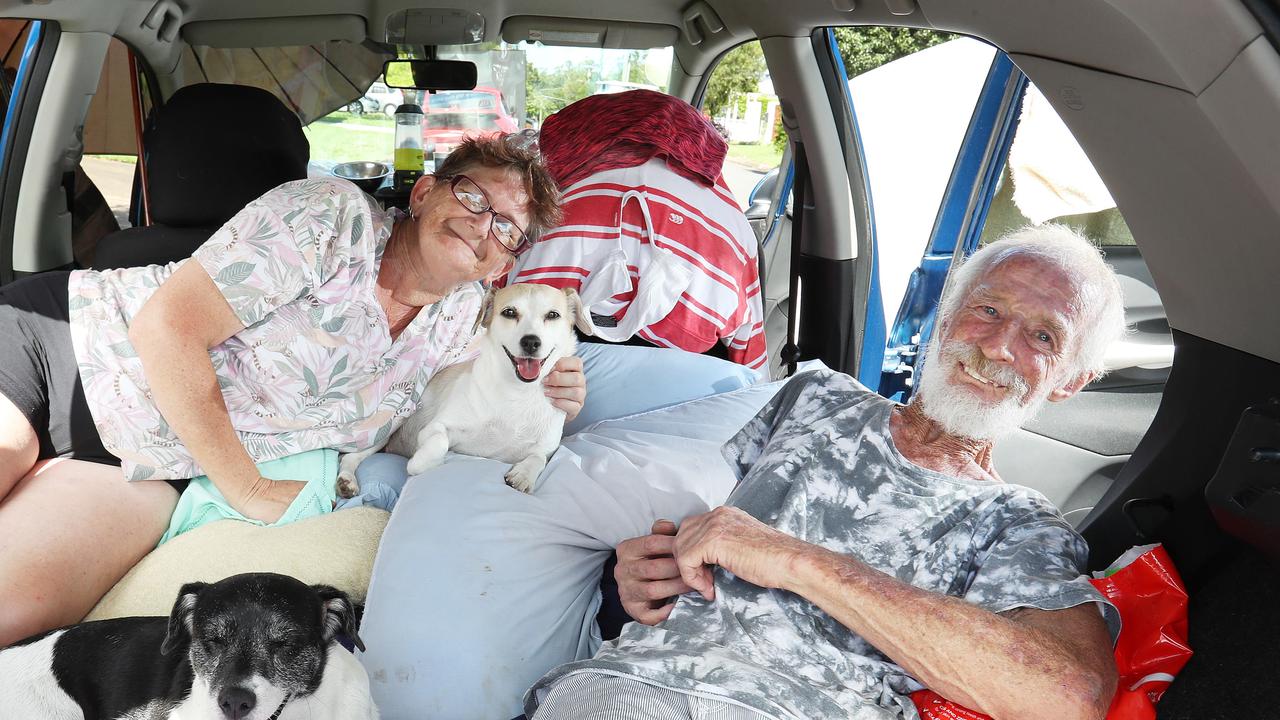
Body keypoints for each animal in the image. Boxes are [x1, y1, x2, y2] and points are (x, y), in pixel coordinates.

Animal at [343, 281, 596, 491]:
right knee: (350, 457)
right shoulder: (437, 427)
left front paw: (523, 475)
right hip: (383, 431)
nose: (531, 341)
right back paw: (347, 479)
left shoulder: (546, 448)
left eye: (553, 315)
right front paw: (420, 463)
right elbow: (439, 443)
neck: (517, 392)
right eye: (509, 312)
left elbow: (539, 458)